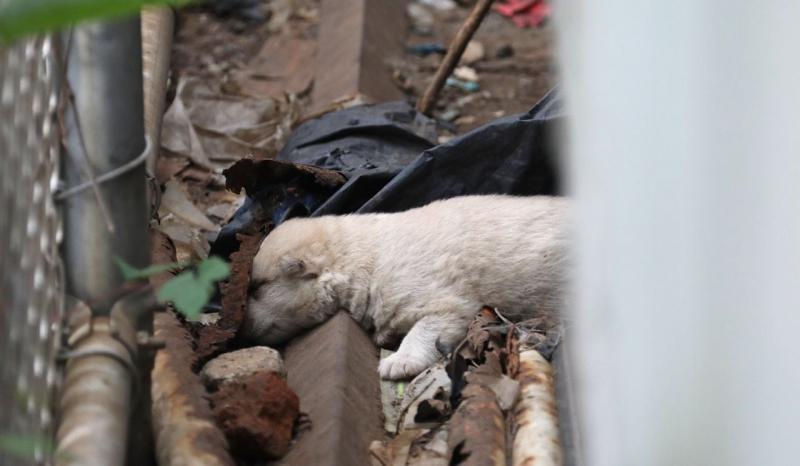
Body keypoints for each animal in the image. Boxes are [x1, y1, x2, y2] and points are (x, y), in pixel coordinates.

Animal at [244, 195, 568, 380]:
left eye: (257, 288)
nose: (240, 331)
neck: (361, 261)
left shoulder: (428, 287)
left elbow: (439, 319)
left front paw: (399, 362)